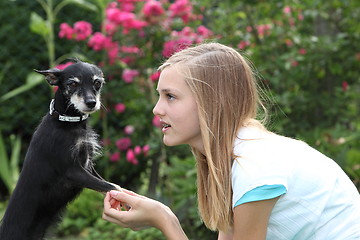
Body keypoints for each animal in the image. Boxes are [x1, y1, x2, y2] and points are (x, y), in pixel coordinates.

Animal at [0, 60, 121, 240]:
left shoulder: (88, 166)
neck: (68, 123)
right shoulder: (73, 171)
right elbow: (111, 186)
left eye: (97, 83)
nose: (91, 103)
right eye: (72, 84)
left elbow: (109, 184)